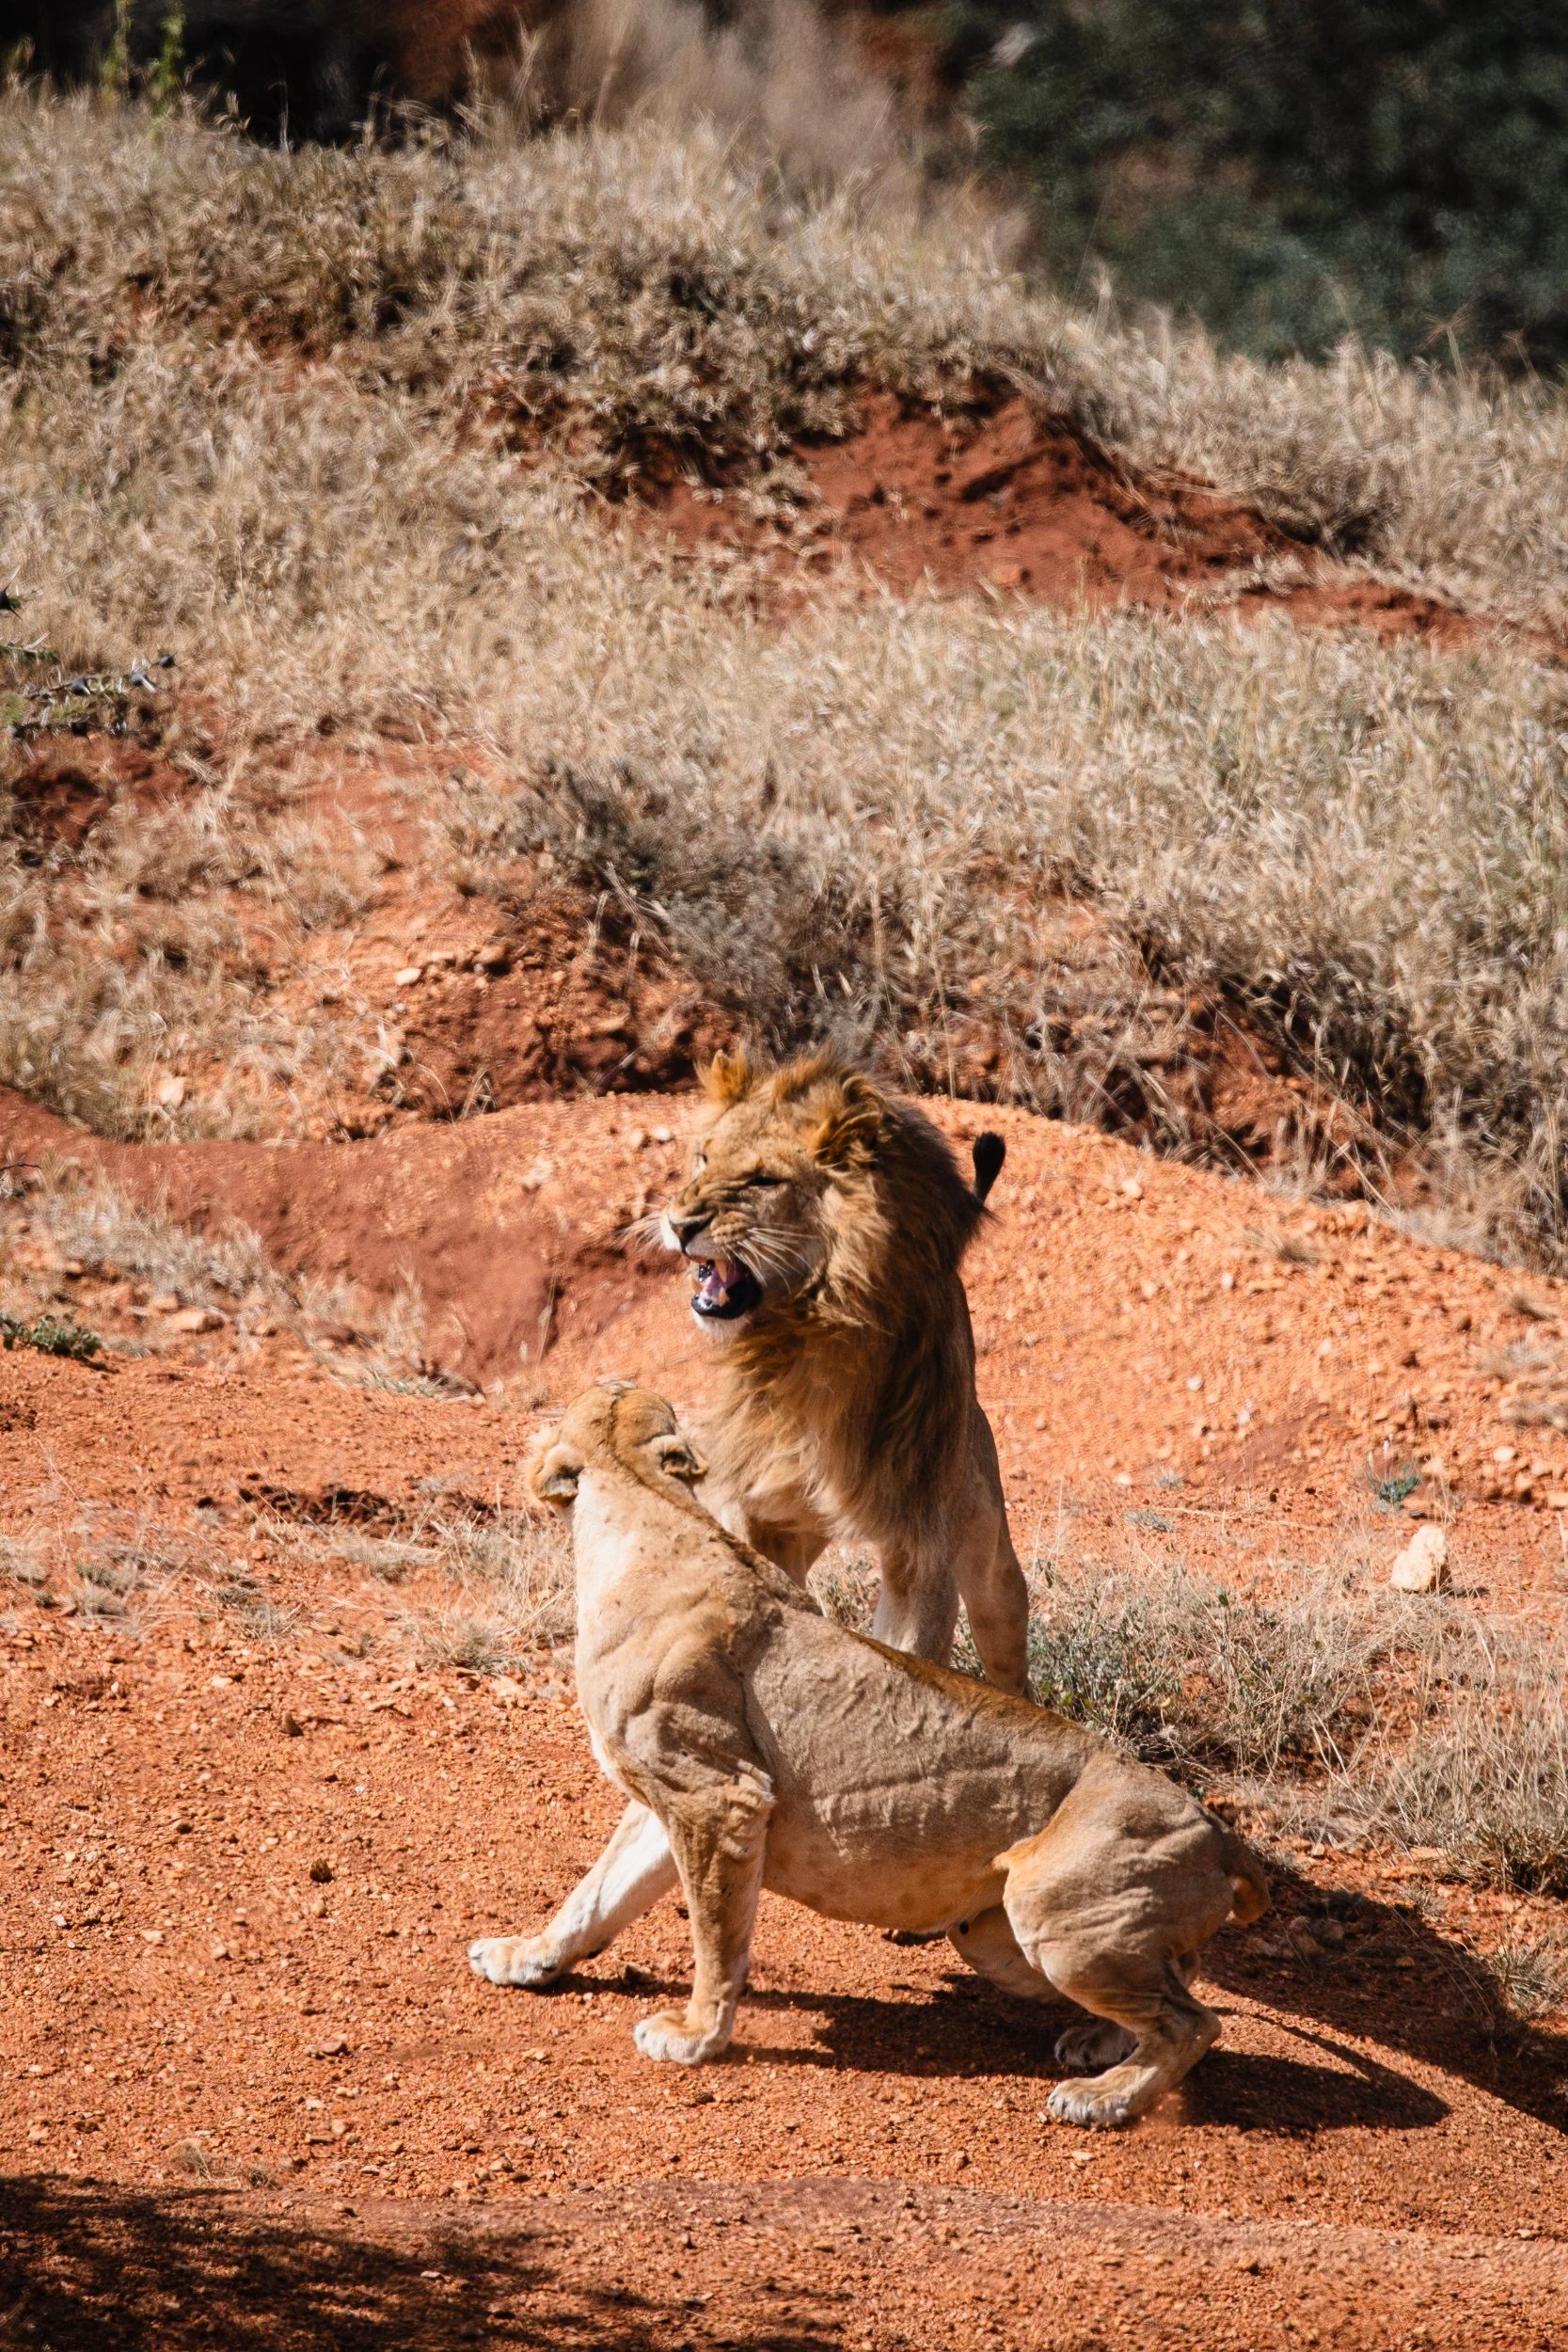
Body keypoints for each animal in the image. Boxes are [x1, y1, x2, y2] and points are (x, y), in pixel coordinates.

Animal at [469, 1384, 1268, 2127]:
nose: (610, 1378)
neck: (646, 1502)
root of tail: (1219, 1833)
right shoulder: (672, 1799)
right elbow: (596, 1895)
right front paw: (525, 1957)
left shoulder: (722, 1799)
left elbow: (715, 1936)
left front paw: (696, 2035)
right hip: (995, 1935)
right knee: (1179, 1976)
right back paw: (1098, 2045)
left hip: (1051, 1905)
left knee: (1193, 2020)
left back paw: (1102, 2096)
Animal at [651, 1047, 1031, 1695]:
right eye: (702, 1157)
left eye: (762, 1181)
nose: (678, 1225)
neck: (815, 1331)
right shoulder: (751, 1497)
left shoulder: (921, 1548)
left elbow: (910, 1659)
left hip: (988, 1556)